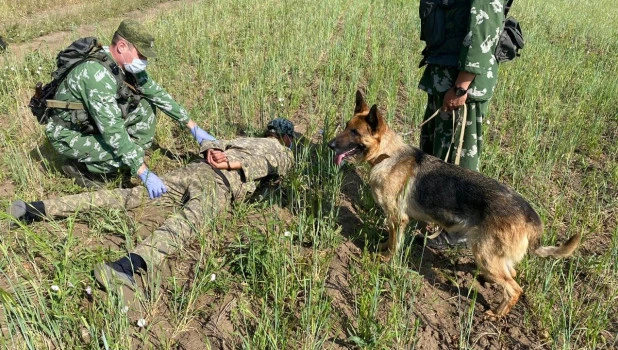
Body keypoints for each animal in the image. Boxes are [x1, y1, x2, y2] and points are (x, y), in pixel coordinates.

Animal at [324, 90, 580, 318]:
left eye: (355, 133)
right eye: (346, 126)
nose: (330, 145)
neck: (386, 155)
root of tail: (530, 214)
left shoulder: (398, 218)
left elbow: (395, 243)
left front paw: (386, 259)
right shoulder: (395, 220)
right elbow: (390, 238)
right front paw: (383, 248)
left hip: (484, 254)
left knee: (515, 289)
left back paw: (496, 314)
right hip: (493, 256)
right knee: (512, 272)